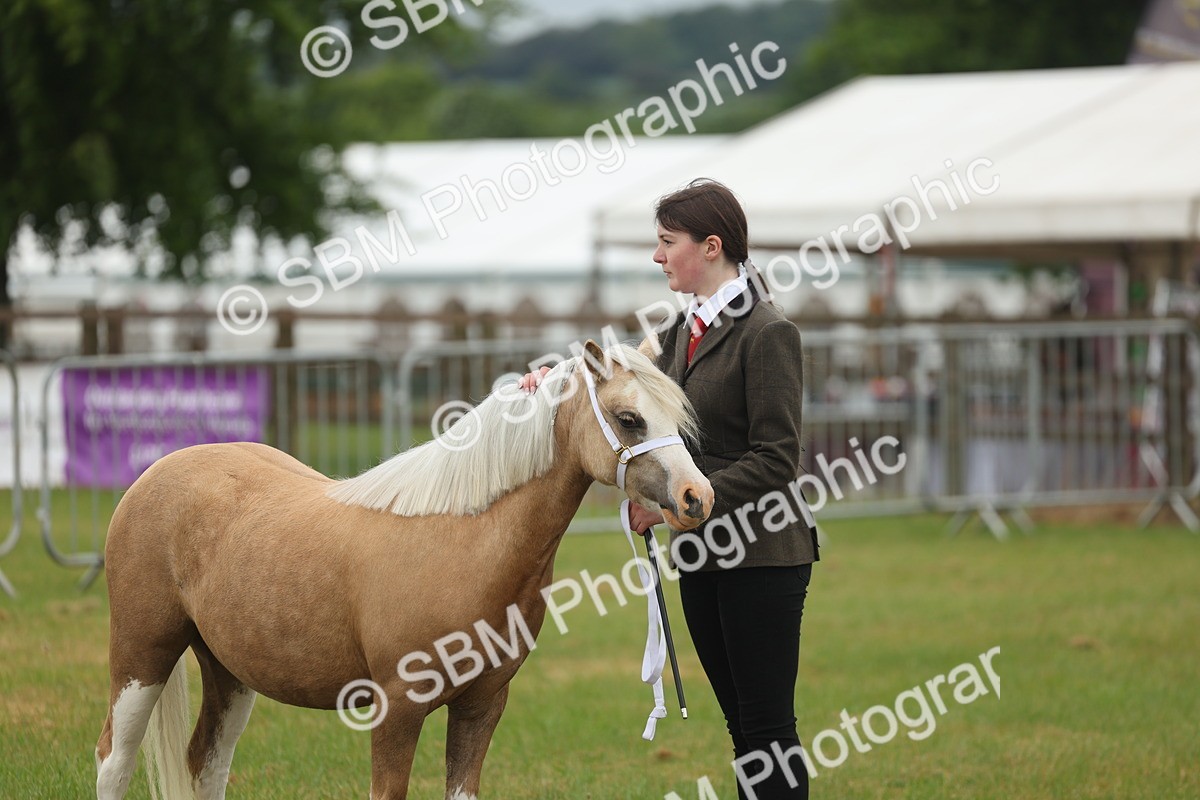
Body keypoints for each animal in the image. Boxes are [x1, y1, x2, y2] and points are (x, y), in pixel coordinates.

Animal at [94, 340, 714, 800]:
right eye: (629, 419)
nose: (696, 497)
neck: (463, 542)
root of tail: (155, 474)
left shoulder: (481, 706)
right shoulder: (396, 709)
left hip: (228, 669)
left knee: (206, 763)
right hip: (142, 655)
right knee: (114, 760)